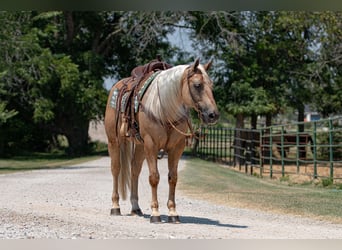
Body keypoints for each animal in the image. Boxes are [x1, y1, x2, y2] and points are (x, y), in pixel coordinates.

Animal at [103, 58, 219, 223]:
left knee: (135, 170)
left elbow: (173, 178)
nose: (213, 115)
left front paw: (173, 213)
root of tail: (117, 86)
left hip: (140, 146)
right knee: (116, 169)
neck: (164, 109)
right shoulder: (151, 145)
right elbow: (154, 178)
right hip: (114, 141)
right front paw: (155, 213)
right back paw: (115, 207)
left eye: (211, 85)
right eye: (197, 85)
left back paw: (136, 208)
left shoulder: (176, 148)